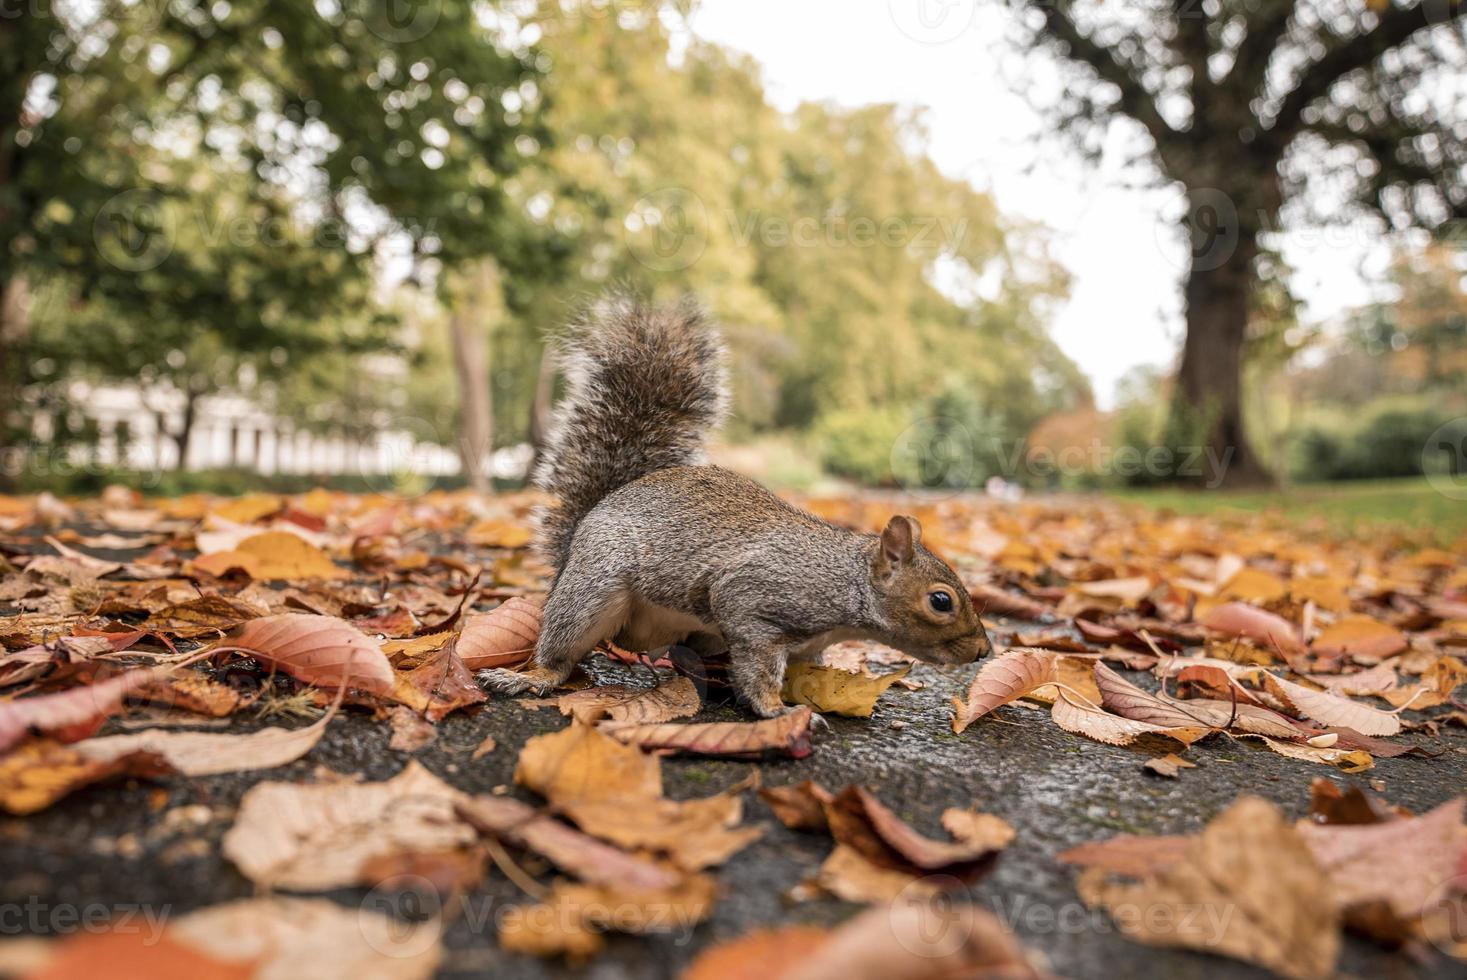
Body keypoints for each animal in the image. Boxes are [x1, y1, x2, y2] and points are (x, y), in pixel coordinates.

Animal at [475, 294, 991, 715]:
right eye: (941, 601)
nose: (984, 651)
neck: (846, 582)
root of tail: (577, 539)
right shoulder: (755, 597)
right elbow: (759, 662)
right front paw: (776, 710)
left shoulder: (808, 644)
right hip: (593, 587)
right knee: (563, 648)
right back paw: (530, 676)